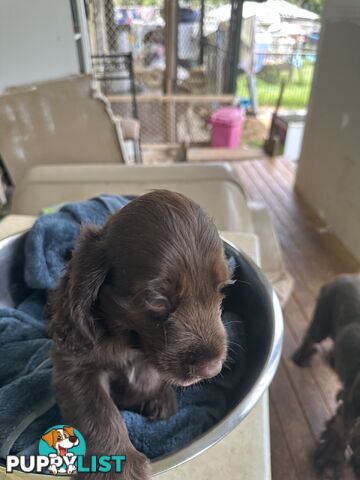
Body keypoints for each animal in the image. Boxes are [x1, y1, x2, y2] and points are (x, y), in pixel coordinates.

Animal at [47, 191, 231, 480]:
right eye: (157, 300)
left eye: (222, 288)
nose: (211, 368)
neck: (129, 344)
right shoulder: (75, 366)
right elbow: (99, 411)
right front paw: (115, 467)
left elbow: (149, 377)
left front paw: (154, 393)